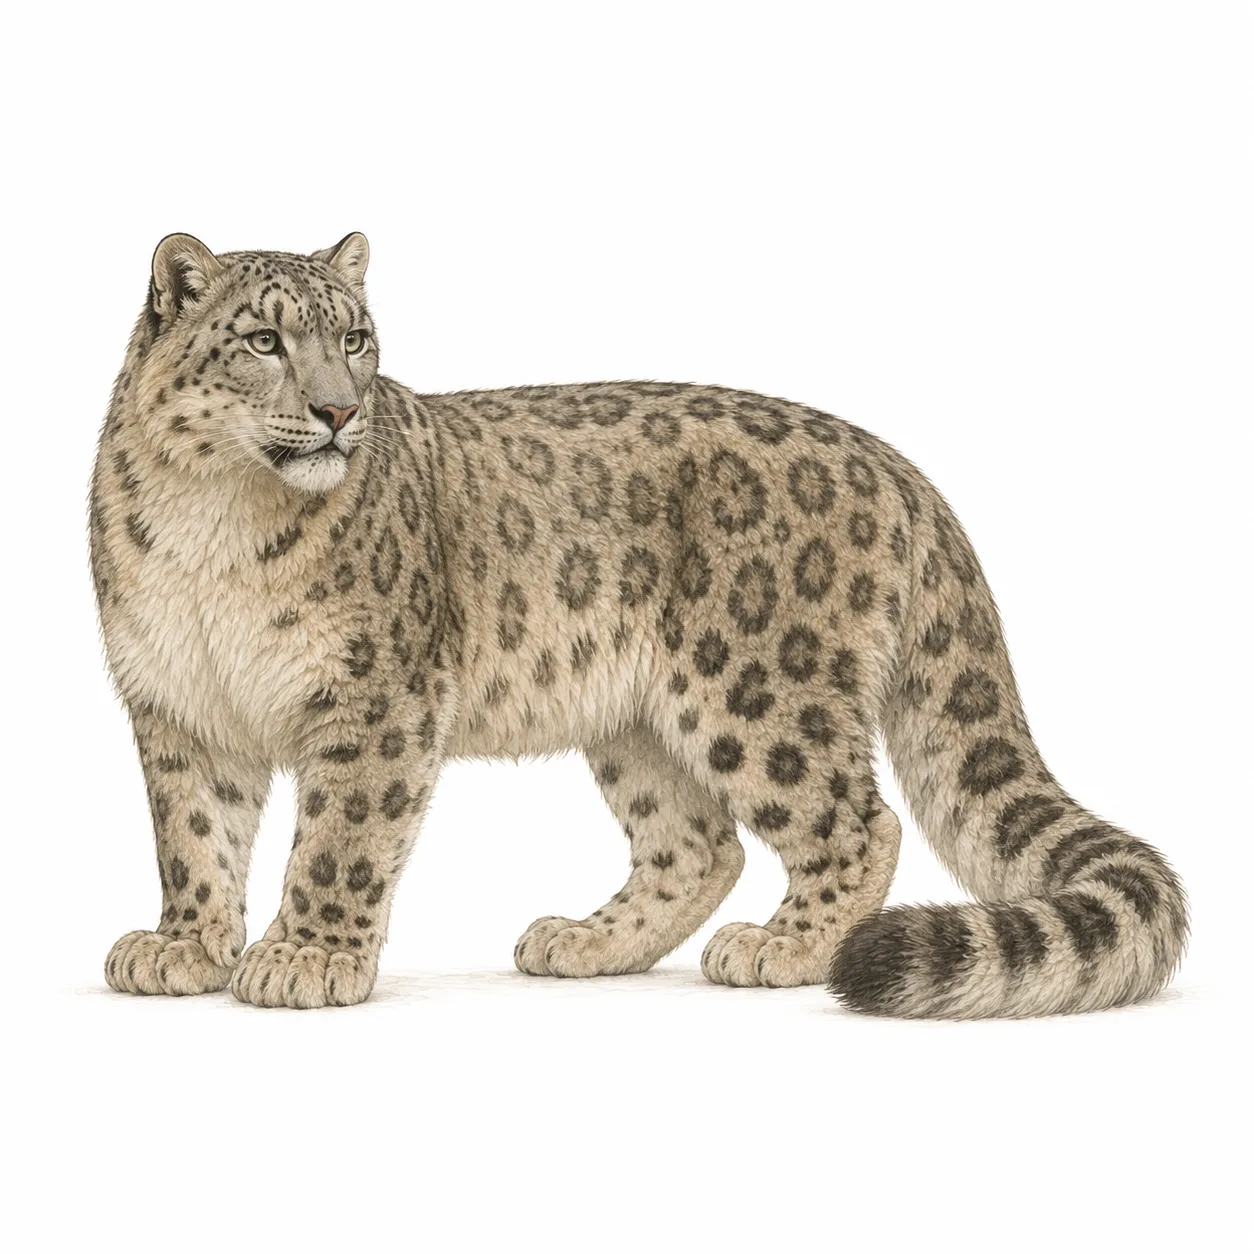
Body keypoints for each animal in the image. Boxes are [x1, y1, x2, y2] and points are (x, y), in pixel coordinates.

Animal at [90, 232, 1188, 1016]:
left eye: (355, 338)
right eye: (264, 340)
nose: (336, 411)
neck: (214, 529)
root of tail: (895, 462)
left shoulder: (375, 700)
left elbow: (340, 838)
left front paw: (306, 958)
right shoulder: (176, 704)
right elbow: (193, 834)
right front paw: (184, 947)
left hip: (755, 687)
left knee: (854, 818)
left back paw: (786, 946)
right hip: (637, 721)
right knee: (696, 841)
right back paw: (584, 939)